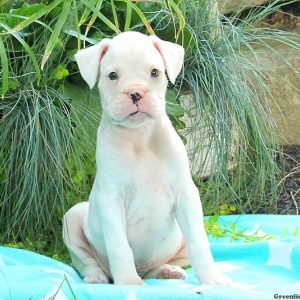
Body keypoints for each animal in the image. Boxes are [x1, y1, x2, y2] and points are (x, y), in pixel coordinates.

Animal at [62, 30, 231, 286]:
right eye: (112, 75)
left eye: (154, 72)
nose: (136, 93)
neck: (140, 137)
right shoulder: (110, 199)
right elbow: (120, 247)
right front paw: (129, 283)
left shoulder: (186, 195)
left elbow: (199, 243)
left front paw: (212, 280)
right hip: (73, 217)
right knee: (85, 261)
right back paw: (96, 276)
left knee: (162, 265)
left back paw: (167, 271)